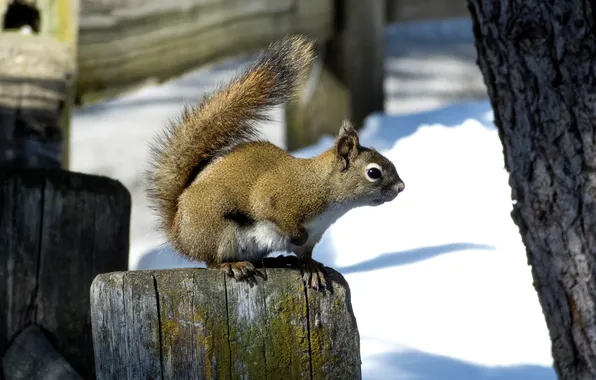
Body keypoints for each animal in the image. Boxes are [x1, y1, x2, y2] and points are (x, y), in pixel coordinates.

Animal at [145, 36, 406, 290]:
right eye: (374, 172)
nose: (401, 187)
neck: (323, 188)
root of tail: (179, 234)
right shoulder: (277, 199)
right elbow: (278, 217)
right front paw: (297, 238)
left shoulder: (315, 234)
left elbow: (305, 254)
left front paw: (312, 267)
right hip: (217, 231)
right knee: (212, 261)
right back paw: (233, 265)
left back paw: (277, 259)